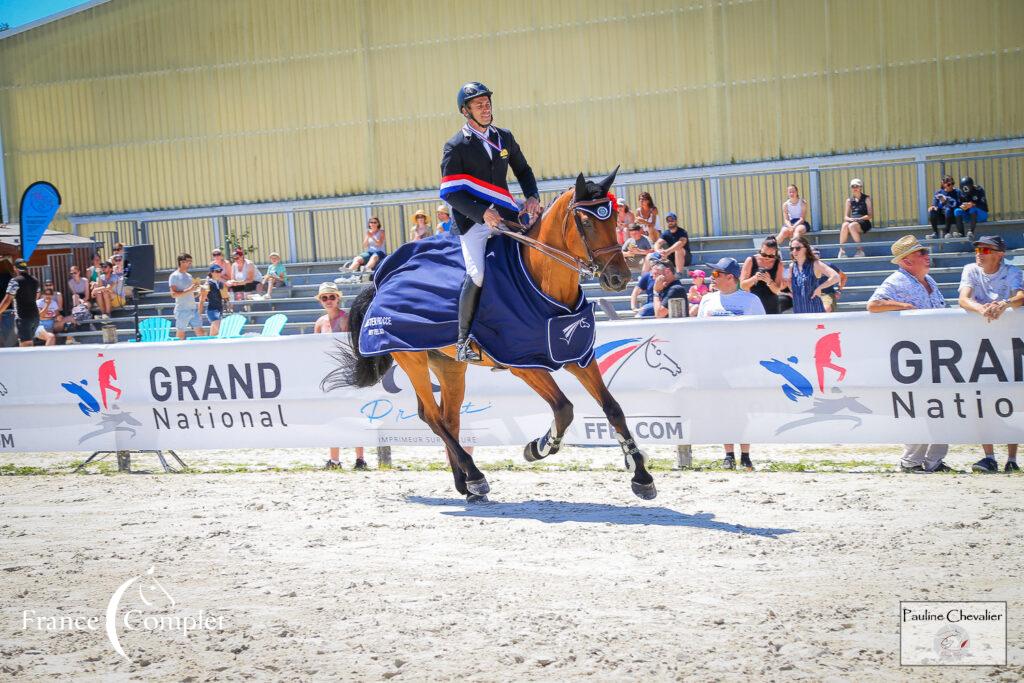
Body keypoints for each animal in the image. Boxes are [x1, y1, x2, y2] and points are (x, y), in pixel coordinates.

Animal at [325, 169, 655, 501]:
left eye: (615, 221)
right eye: (586, 222)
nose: (618, 278)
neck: (541, 280)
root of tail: (380, 279)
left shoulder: (577, 355)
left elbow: (613, 408)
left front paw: (641, 475)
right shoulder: (524, 363)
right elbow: (564, 409)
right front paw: (537, 447)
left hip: (448, 364)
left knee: (448, 417)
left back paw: (465, 483)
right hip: (411, 357)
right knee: (431, 416)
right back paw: (475, 476)